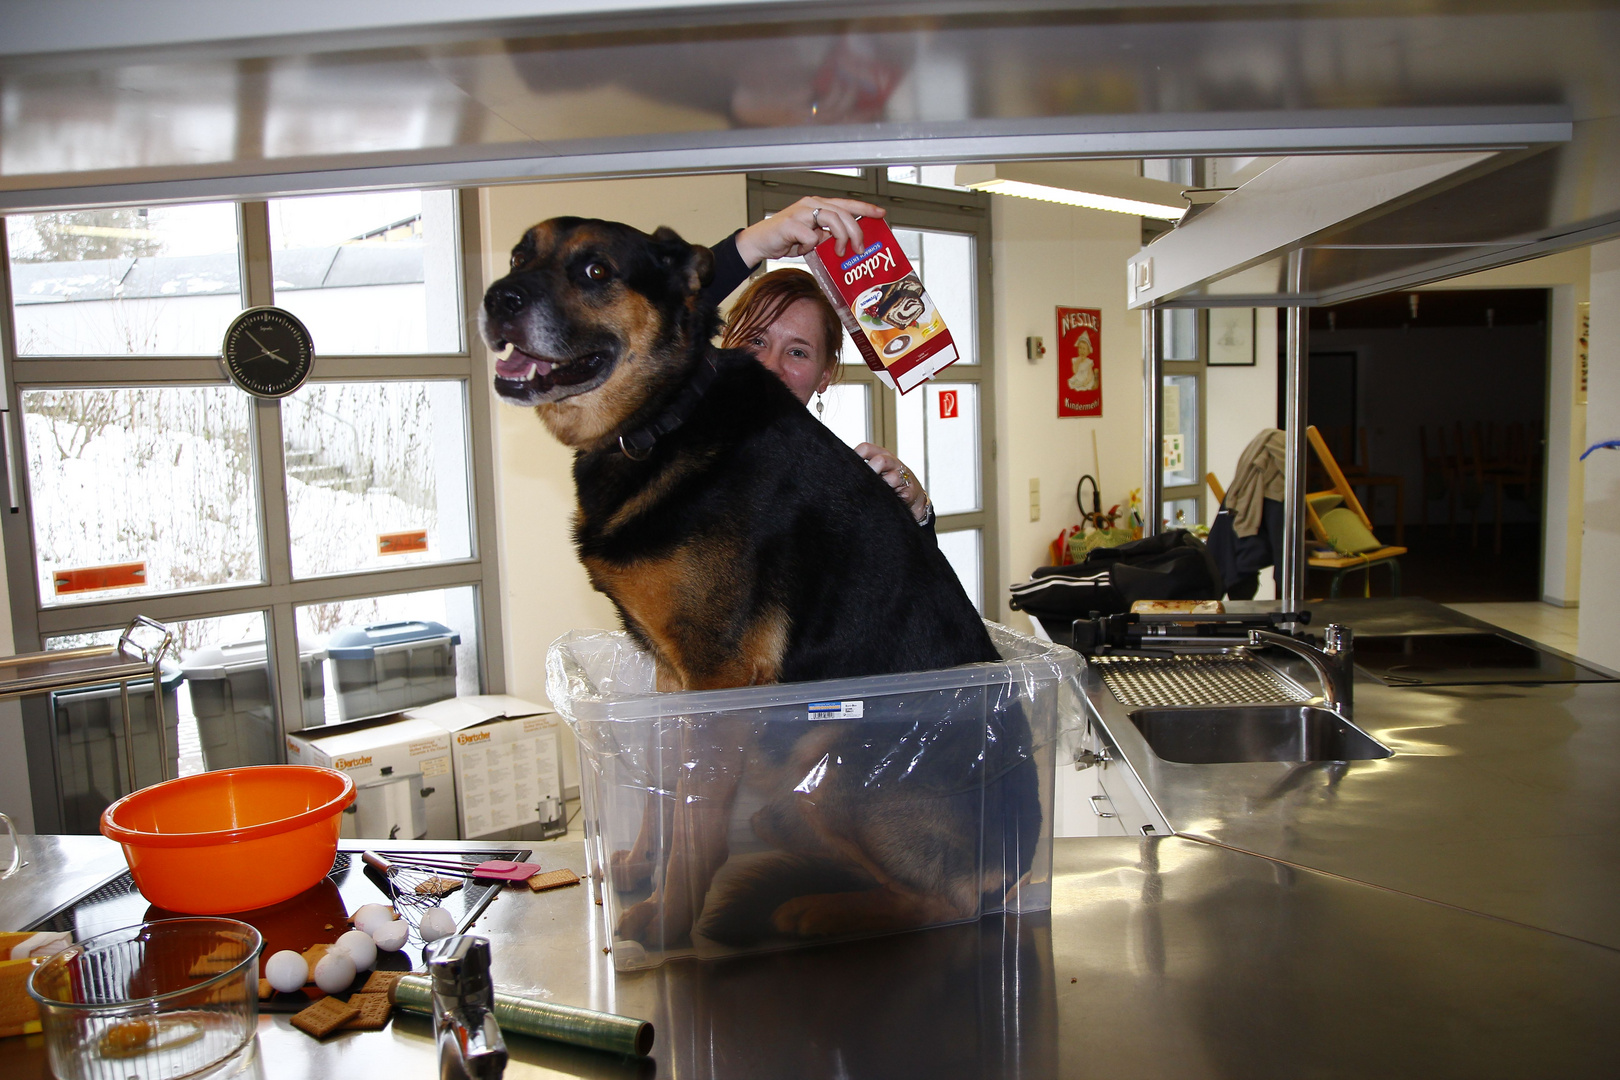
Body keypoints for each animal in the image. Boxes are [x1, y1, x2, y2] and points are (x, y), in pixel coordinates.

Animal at [479, 216, 1036, 945]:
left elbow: (697, 828)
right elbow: (666, 798)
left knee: (949, 903)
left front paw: (667, 920)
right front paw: (641, 866)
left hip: (843, 750)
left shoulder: (719, 679)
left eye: (595, 271)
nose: (497, 299)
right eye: (519, 256)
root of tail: (1019, 857)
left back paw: (813, 910)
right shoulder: (673, 677)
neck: (665, 418)